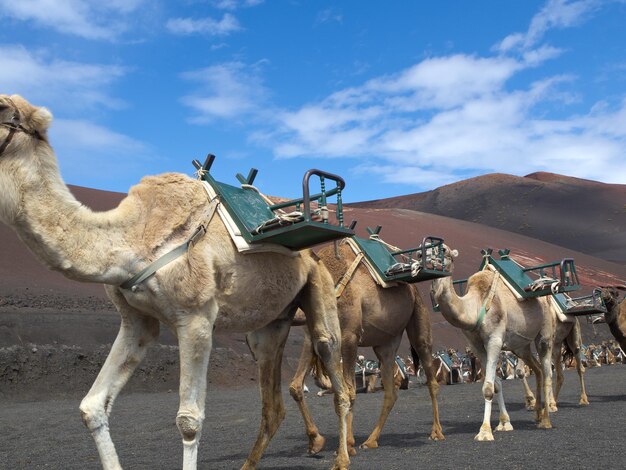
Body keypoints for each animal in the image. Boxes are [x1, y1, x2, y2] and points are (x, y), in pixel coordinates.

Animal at [0, 95, 352, 470]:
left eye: (3, 110)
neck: (132, 238)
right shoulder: (137, 321)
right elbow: (91, 407)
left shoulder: (196, 317)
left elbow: (189, 420)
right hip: (269, 326)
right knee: (272, 402)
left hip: (319, 287)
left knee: (335, 368)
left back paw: (343, 457)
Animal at [288, 241, 444, 458]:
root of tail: (413, 288)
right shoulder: (313, 337)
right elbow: (296, 387)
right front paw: (315, 442)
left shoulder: (349, 336)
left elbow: (349, 391)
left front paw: (347, 445)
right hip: (385, 344)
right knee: (391, 391)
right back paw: (370, 441)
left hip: (419, 321)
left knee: (431, 376)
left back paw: (436, 432)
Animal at [426, 248, 552, 442]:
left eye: (444, 251)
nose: (424, 258)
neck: (475, 306)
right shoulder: (476, 346)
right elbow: (496, 384)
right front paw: (504, 423)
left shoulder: (494, 340)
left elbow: (487, 387)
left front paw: (485, 431)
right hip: (520, 346)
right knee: (537, 369)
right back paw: (537, 413)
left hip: (543, 334)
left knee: (546, 370)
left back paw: (546, 420)